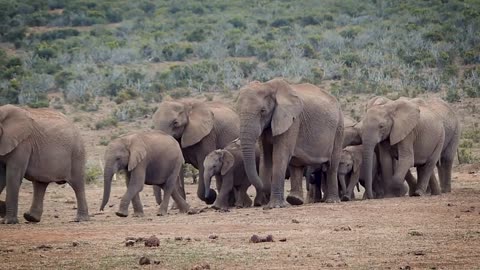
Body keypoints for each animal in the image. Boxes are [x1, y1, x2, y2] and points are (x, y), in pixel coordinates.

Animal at [237, 77, 344, 208]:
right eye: (238, 111)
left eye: (263, 111)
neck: (268, 86)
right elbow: (266, 157)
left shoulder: (292, 120)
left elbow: (280, 156)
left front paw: (275, 206)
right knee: (296, 165)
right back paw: (295, 200)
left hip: (339, 127)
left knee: (332, 164)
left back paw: (332, 201)